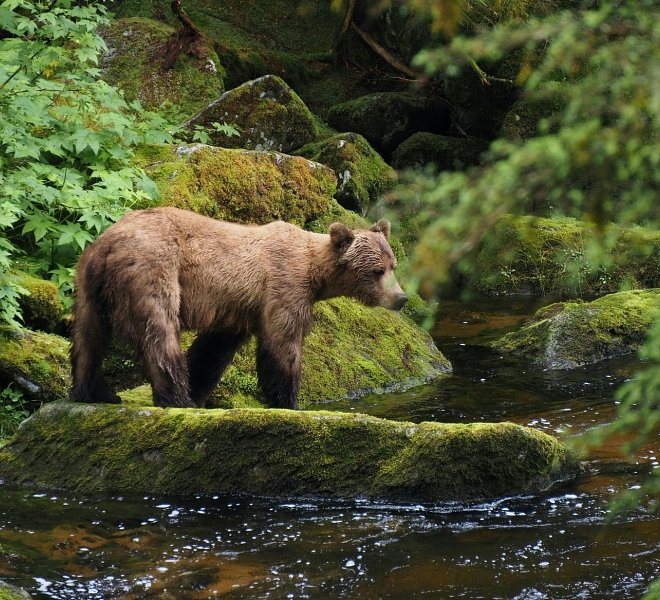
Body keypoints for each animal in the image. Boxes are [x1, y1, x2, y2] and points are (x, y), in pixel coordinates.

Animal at [70, 207, 407, 410]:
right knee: (159, 331)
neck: (315, 271)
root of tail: (108, 243)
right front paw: (288, 400)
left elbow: (212, 350)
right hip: (154, 267)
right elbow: (282, 343)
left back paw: (94, 392)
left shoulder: (238, 307)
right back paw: (177, 398)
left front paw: (200, 386)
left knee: (88, 338)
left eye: (393, 265)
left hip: (89, 283)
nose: (401, 298)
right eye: (377, 271)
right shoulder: (283, 286)